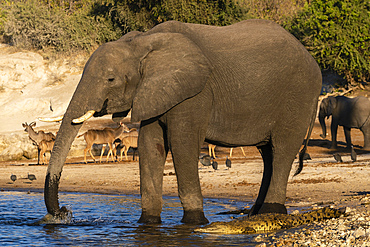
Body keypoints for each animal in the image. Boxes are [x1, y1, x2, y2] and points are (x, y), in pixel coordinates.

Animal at [38, 19, 320, 224]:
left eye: (110, 79)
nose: (63, 212)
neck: (142, 43)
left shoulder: (195, 93)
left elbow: (183, 146)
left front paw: (195, 223)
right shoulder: (154, 90)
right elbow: (151, 147)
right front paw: (148, 223)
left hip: (298, 97)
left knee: (282, 151)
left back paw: (271, 213)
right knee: (268, 154)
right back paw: (255, 213)